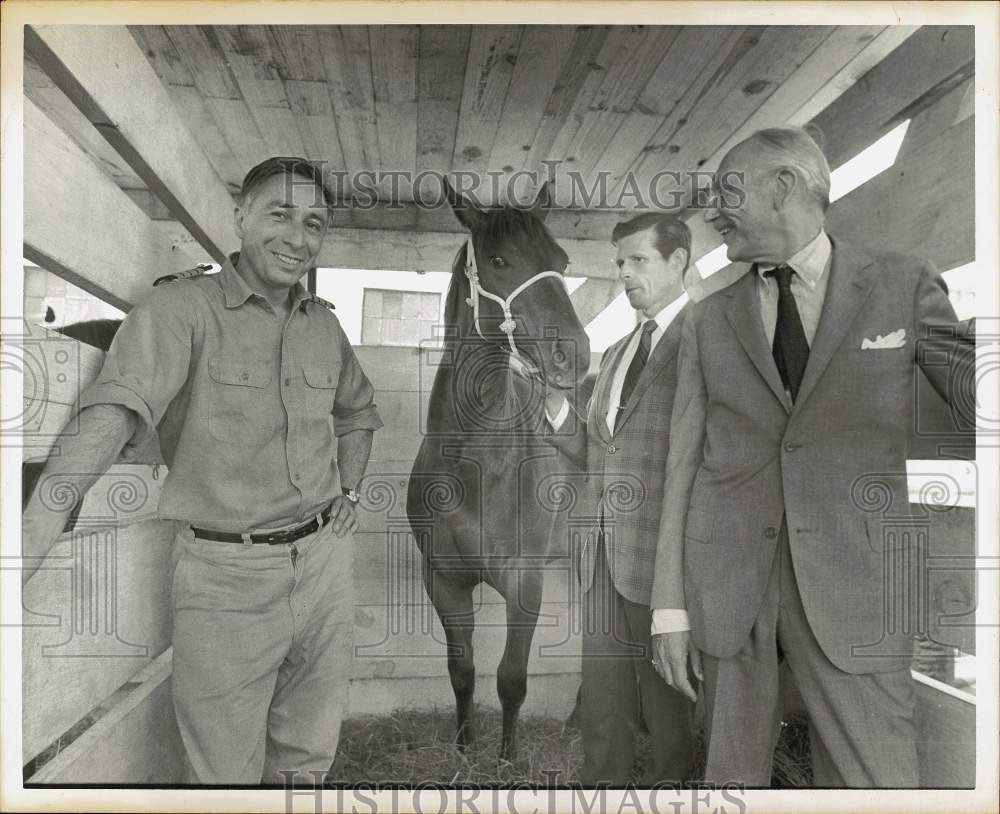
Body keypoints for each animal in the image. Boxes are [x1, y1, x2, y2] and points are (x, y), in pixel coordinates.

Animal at [406, 182, 588, 760]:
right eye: (499, 261)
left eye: (561, 260)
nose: (573, 355)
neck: (481, 466)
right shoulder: (444, 581)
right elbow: (461, 671)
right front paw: (465, 746)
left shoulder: (525, 581)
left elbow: (511, 678)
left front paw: (507, 759)